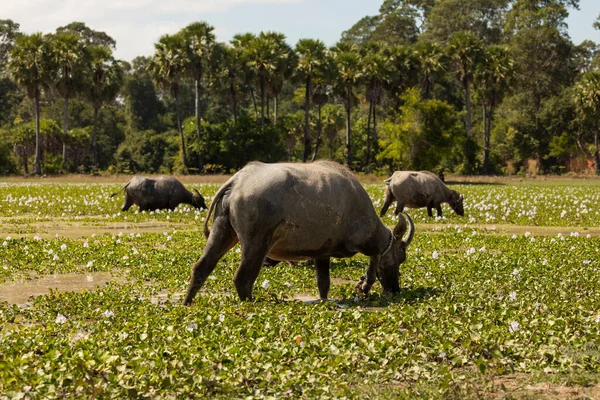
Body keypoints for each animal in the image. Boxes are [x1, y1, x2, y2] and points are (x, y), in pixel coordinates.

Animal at [185, 161, 414, 304]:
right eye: (400, 258)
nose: (395, 289)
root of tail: (237, 182)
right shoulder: (360, 242)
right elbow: (374, 258)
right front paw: (365, 284)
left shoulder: (322, 253)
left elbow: (324, 283)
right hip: (256, 245)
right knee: (243, 278)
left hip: (222, 231)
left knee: (201, 267)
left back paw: (187, 302)